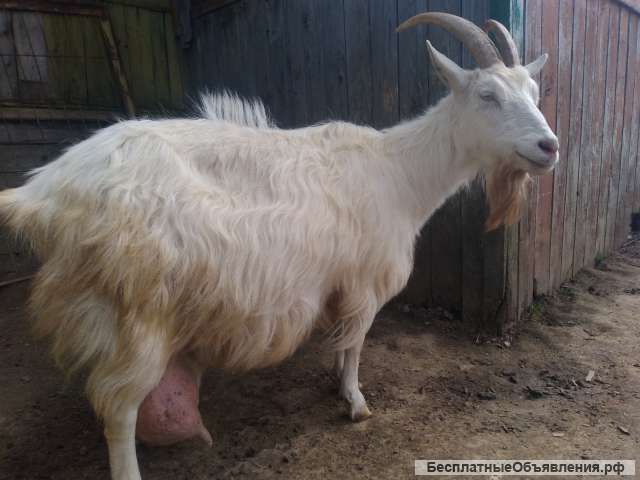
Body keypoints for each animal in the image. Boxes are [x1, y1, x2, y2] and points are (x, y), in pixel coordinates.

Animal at [0, 13, 557, 480]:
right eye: (487, 94)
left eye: (533, 90)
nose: (548, 147)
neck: (399, 171)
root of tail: (41, 194)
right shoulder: (364, 280)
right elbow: (357, 342)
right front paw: (355, 402)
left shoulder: (337, 283)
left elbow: (341, 341)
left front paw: (335, 380)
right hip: (140, 305)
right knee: (118, 406)